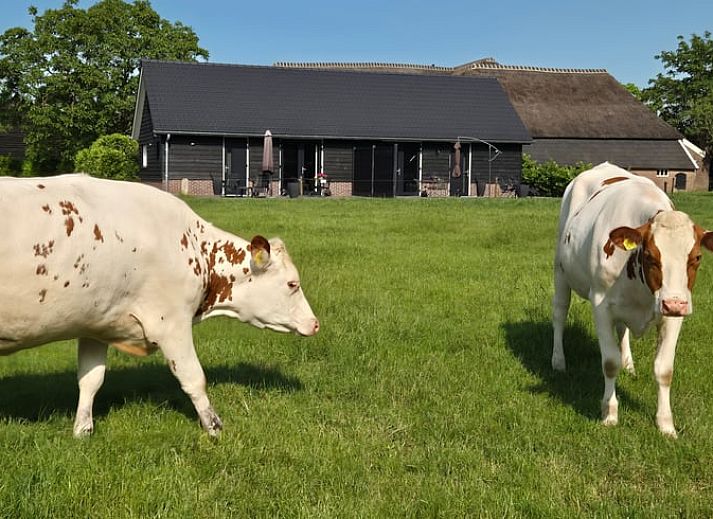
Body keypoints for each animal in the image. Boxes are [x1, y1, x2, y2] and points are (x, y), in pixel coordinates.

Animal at [0, 174, 319, 437]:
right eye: (293, 284)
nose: (315, 323)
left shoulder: (95, 322)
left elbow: (90, 379)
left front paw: (83, 431)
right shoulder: (171, 322)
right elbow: (194, 378)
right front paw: (214, 428)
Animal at [552, 162, 713, 437]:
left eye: (697, 257)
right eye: (649, 255)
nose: (674, 303)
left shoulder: (673, 316)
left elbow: (664, 369)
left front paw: (666, 425)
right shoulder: (601, 306)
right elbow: (609, 362)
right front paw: (610, 413)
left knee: (623, 330)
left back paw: (628, 363)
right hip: (561, 271)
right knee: (560, 314)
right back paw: (558, 360)